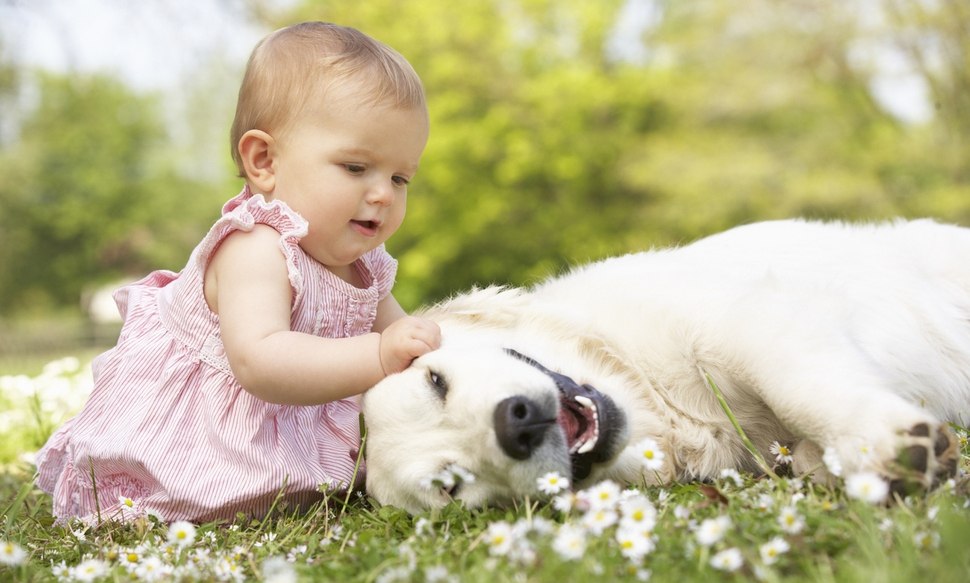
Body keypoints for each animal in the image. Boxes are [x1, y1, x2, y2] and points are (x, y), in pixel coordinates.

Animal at [362, 219, 968, 512]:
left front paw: (885, 443)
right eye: (451, 486)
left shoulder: (751, 319)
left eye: (435, 381)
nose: (517, 425)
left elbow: (800, 390)